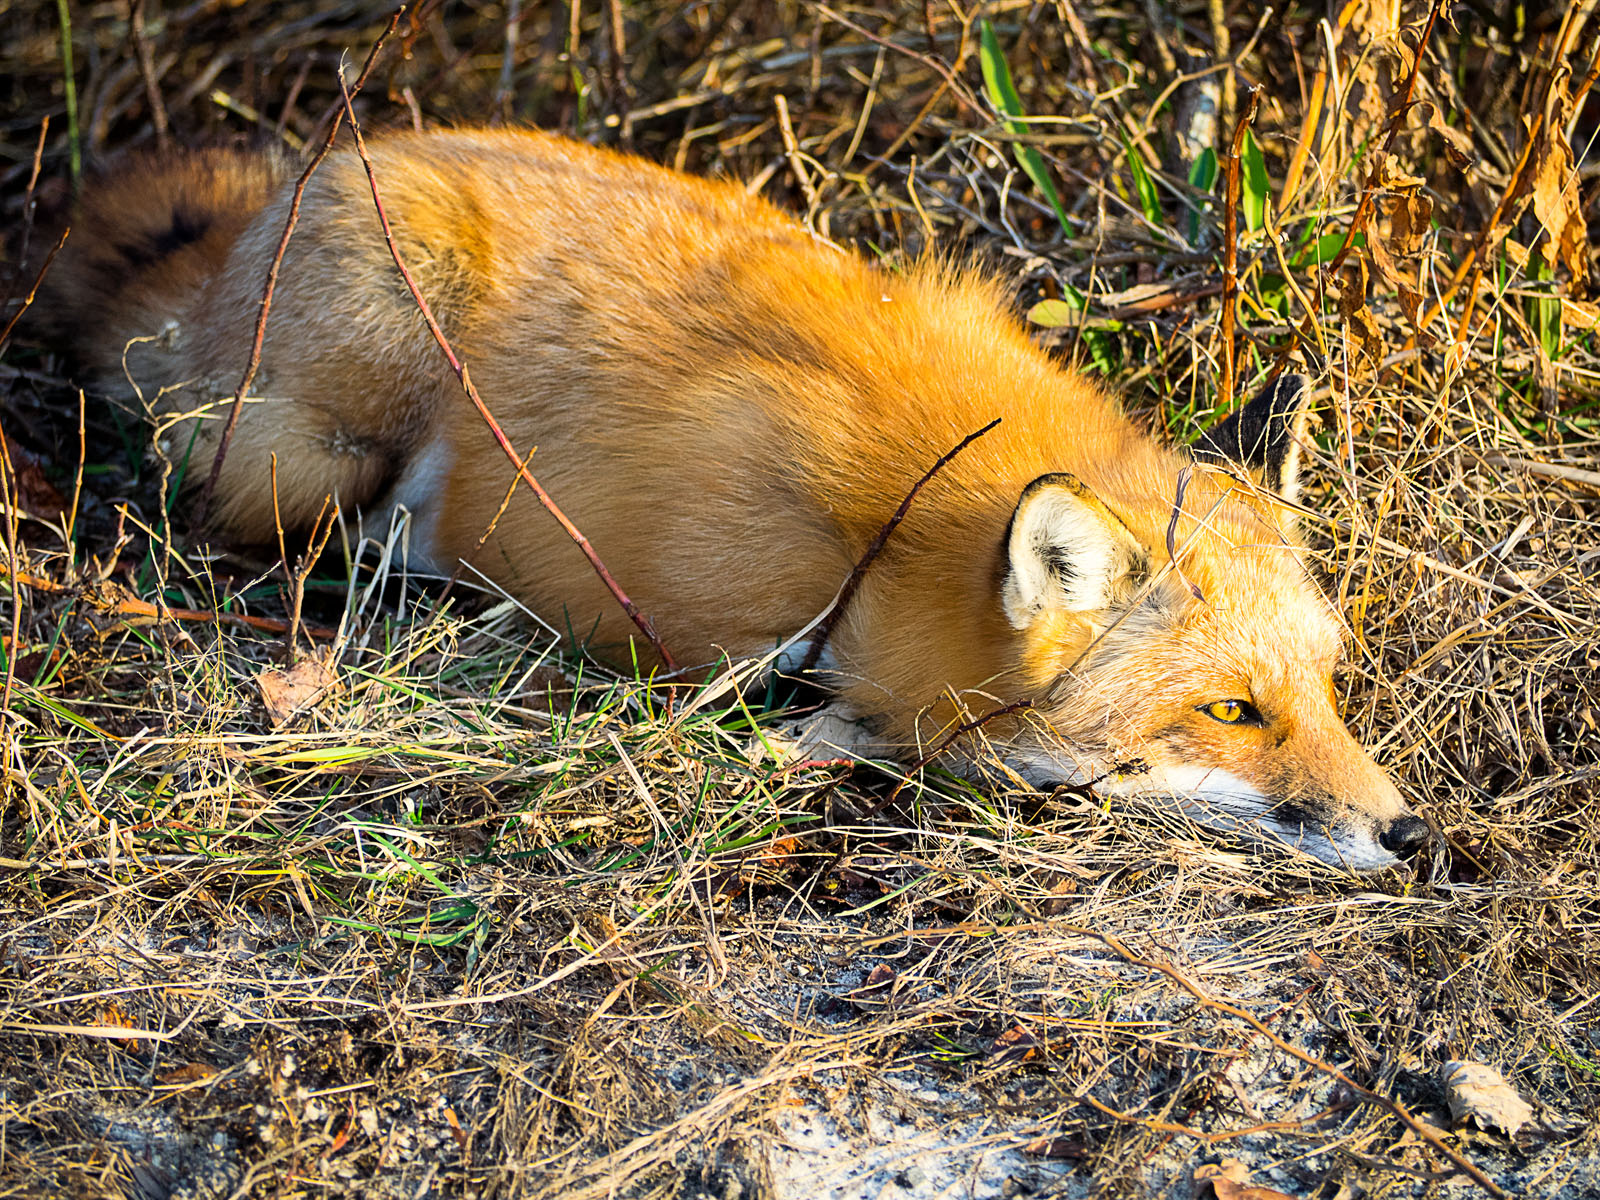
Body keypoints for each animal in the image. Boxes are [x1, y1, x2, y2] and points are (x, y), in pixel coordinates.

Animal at [35, 127, 1431, 870]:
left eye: (1327, 686)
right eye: (1230, 710)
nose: (1414, 839)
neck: (913, 522)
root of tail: (308, 179)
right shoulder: (684, 611)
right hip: (321, 444)